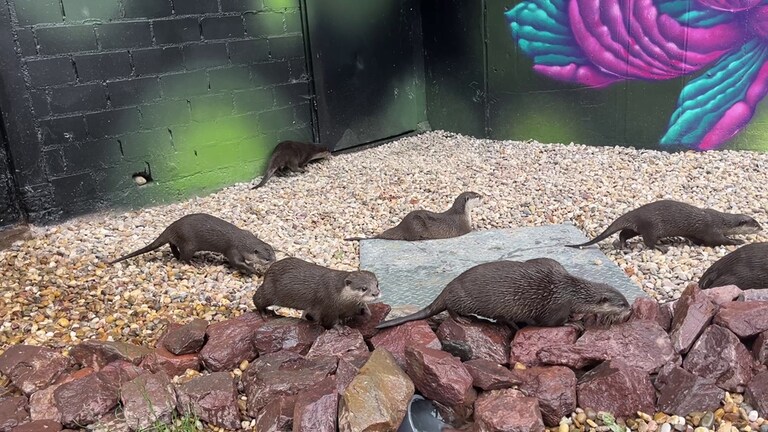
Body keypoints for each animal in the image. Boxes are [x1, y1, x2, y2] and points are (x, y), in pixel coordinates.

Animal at [110, 213, 276, 275]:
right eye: (267, 258)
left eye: (274, 254)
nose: (274, 261)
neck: (242, 239)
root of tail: (171, 228)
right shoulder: (232, 249)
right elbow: (236, 263)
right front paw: (255, 271)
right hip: (189, 243)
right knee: (185, 257)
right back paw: (194, 264)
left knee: (172, 245)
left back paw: (176, 255)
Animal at [252, 257, 381, 329]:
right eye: (364, 288)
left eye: (377, 284)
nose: (376, 293)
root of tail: (269, 270)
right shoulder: (328, 305)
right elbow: (330, 320)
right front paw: (341, 328)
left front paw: (366, 312)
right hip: (270, 290)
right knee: (257, 298)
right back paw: (264, 313)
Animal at [345, 191, 483, 241]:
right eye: (476, 195)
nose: (482, 196)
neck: (462, 214)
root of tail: (402, 226)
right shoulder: (464, 226)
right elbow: (471, 230)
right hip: (416, 223)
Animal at [375, 258, 631, 330]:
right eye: (621, 304)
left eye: (626, 300)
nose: (630, 309)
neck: (572, 291)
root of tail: (449, 286)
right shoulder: (557, 305)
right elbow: (551, 323)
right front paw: (572, 323)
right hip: (463, 299)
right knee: (451, 308)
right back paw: (463, 320)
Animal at [565, 200, 761, 250]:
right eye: (755, 223)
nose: (761, 228)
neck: (721, 220)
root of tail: (637, 212)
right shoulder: (711, 229)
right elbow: (718, 240)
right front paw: (737, 241)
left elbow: (696, 238)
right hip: (651, 226)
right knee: (649, 242)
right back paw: (661, 247)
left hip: (638, 227)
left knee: (624, 233)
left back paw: (623, 245)